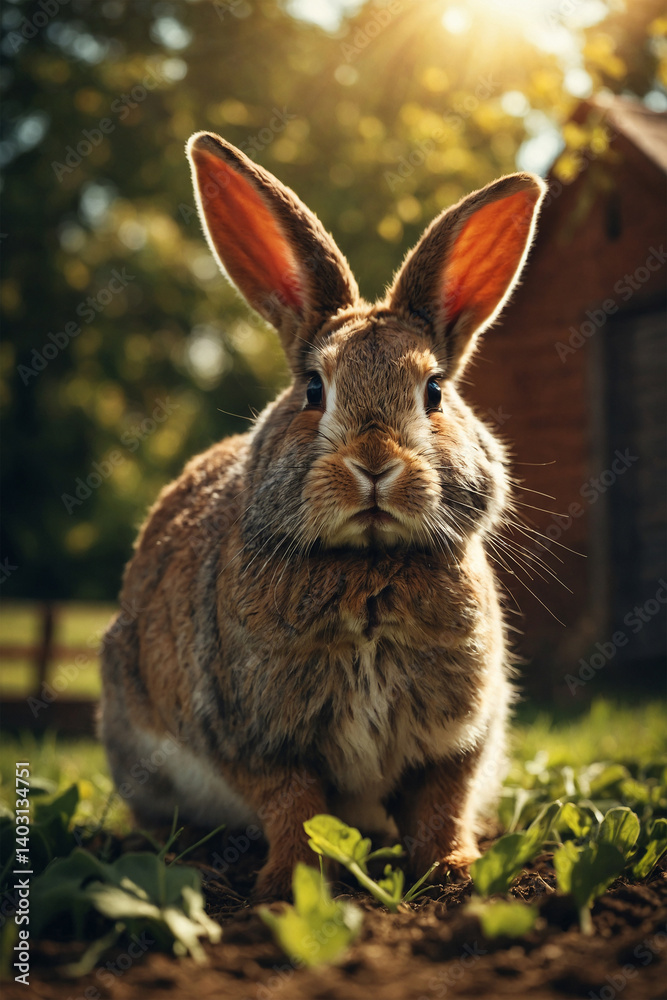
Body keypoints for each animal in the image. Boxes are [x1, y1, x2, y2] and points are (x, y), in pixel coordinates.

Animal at [99, 129, 545, 899]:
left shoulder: (455, 738)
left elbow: (441, 806)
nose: (374, 464)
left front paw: (455, 873)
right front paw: (288, 885)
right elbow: (294, 805)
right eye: (314, 389)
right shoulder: (254, 733)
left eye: (433, 391)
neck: (367, 565)